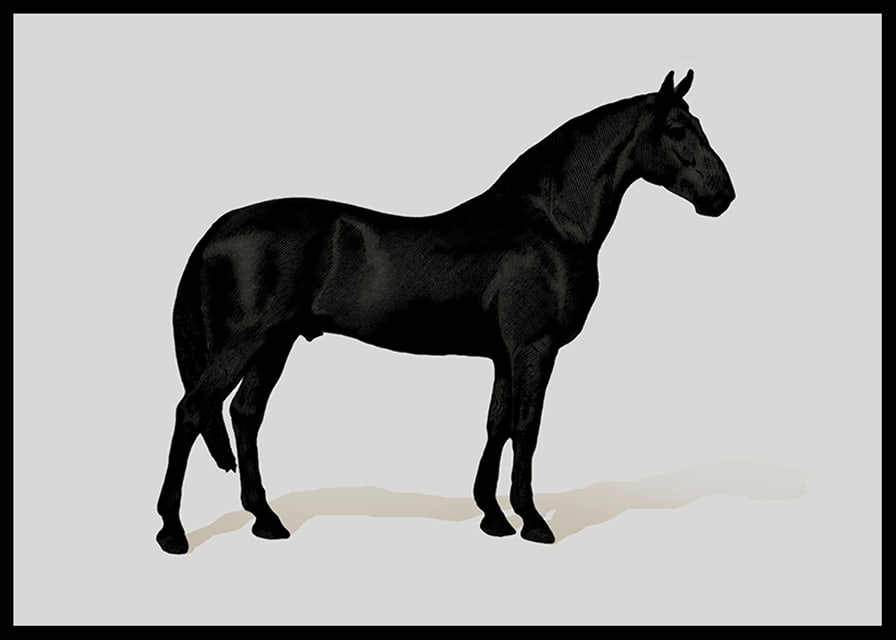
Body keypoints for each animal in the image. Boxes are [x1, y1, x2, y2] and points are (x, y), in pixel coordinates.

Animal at [156, 69, 735, 554]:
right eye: (678, 128)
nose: (723, 195)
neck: (550, 223)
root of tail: (219, 227)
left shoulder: (503, 355)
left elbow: (496, 426)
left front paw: (493, 517)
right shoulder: (534, 348)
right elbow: (527, 427)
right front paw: (532, 522)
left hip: (273, 345)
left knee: (244, 415)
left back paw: (266, 520)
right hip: (247, 341)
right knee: (193, 411)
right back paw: (172, 532)